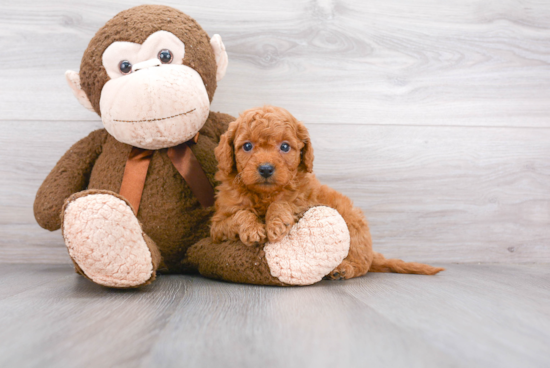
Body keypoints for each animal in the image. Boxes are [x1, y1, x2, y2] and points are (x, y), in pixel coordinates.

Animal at [210, 105, 444, 278]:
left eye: (285, 147)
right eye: (247, 146)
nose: (266, 169)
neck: (265, 194)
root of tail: (371, 251)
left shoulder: (304, 201)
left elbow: (283, 203)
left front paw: (276, 223)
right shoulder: (217, 226)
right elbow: (239, 214)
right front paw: (252, 229)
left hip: (353, 226)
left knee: (362, 265)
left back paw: (344, 269)